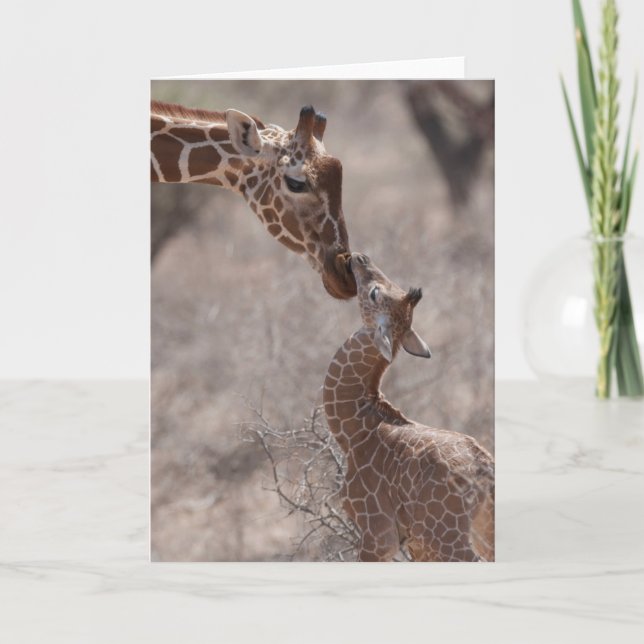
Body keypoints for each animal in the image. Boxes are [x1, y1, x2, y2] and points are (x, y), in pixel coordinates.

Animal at [323, 253, 494, 562]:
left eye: (374, 293)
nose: (360, 257)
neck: (355, 429)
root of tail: (487, 474)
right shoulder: (414, 543)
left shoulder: (377, 533)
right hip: (481, 530)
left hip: (445, 536)